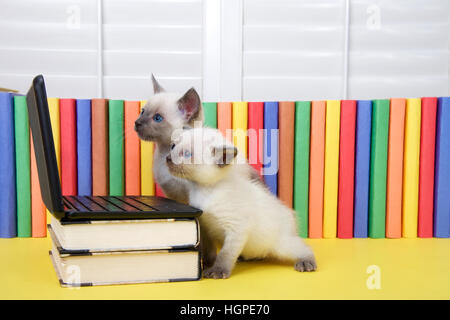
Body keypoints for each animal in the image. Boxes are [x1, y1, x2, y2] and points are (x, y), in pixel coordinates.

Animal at [165, 127, 316, 278]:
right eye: (172, 146)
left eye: (187, 154)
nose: (167, 158)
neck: (203, 190)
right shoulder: (206, 228)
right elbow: (210, 251)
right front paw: (206, 263)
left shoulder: (236, 228)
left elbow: (225, 254)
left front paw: (217, 271)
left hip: (283, 245)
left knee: (304, 248)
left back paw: (306, 263)